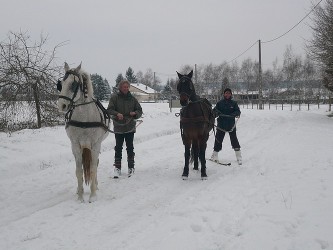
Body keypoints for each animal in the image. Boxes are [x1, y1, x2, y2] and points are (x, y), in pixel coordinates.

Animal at [56, 63, 109, 203]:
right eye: (61, 84)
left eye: (73, 84)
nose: (62, 105)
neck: (84, 119)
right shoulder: (75, 145)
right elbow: (78, 171)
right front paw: (80, 196)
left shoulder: (95, 145)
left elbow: (93, 168)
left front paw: (93, 195)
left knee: (95, 164)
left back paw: (95, 185)